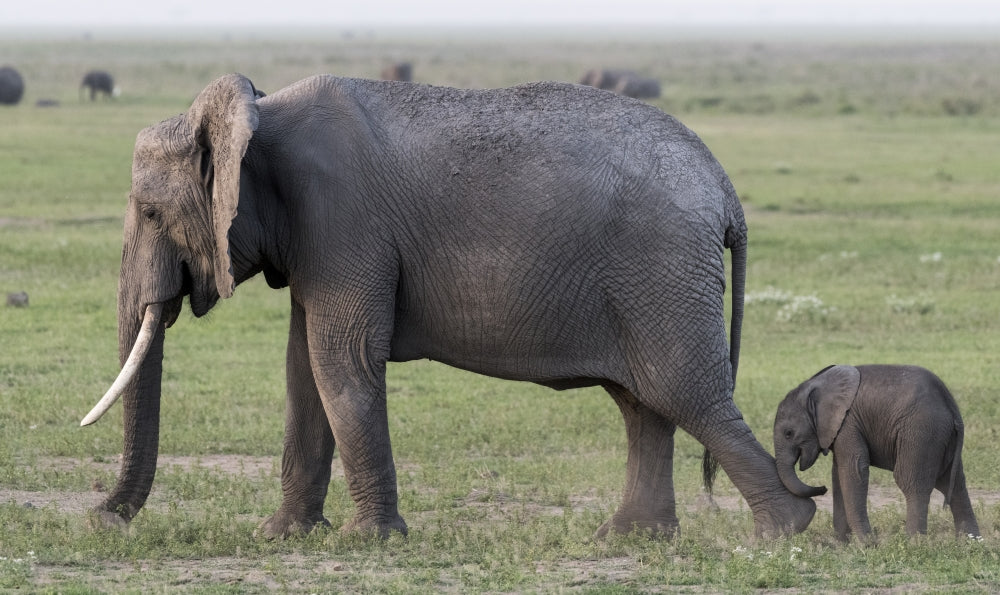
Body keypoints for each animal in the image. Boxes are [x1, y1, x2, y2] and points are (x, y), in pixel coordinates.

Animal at [81, 72, 817, 541]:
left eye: (152, 213)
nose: (100, 519)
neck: (259, 111)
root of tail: (724, 189)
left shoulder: (344, 222)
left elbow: (340, 363)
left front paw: (366, 541)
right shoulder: (317, 239)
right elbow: (303, 372)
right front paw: (281, 535)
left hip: (662, 269)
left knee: (684, 392)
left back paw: (781, 533)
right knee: (644, 403)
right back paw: (629, 538)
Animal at [773, 364, 980, 541]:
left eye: (789, 433)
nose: (822, 488)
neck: (815, 386)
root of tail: (951, 406)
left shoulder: (848, 423)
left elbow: (853, 469)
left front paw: (866, 545)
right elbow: (838, 474)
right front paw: (840, 544)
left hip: (921, 432)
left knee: (911, 483)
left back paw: (913, 544)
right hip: (941, 437)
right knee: (954, 484)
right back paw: (970, 543)